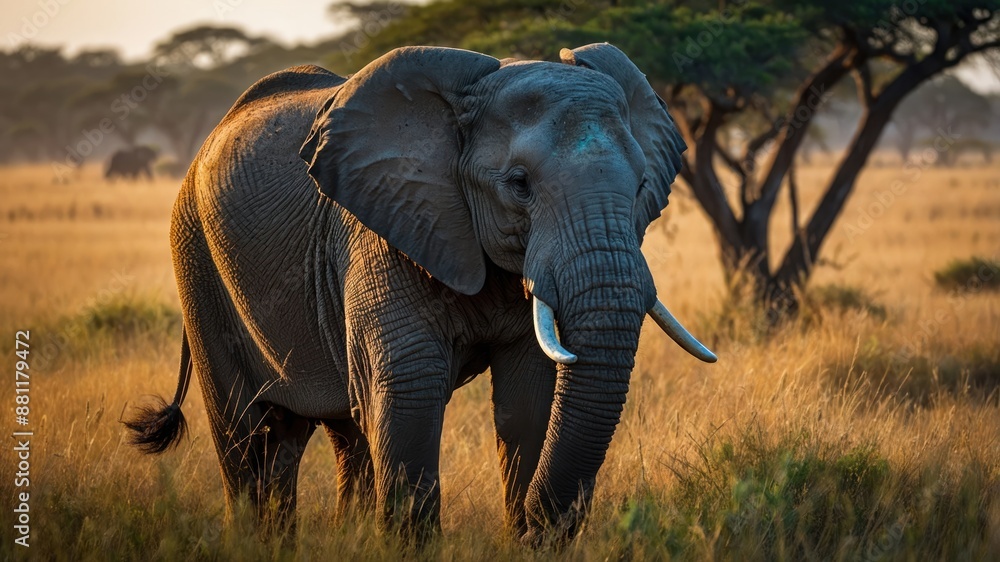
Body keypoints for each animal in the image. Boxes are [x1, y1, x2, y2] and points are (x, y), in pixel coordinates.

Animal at [125, 43, 716, 544]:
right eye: (519, 184)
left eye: (641, 185)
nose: (537, 528)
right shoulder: (383, 229)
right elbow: (409, 393)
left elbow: (528, 399)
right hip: (195, 258)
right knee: (248, 434)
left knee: (328, 434)